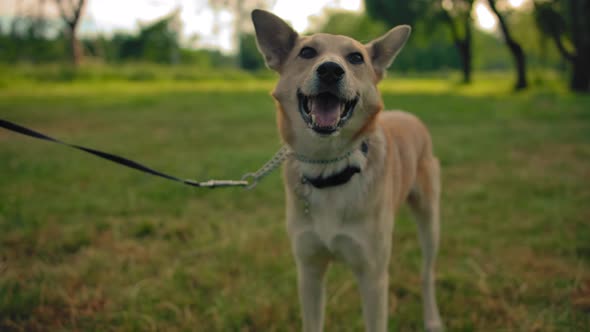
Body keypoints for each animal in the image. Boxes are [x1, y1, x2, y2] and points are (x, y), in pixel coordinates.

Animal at [253, 10, 444, 332]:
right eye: (307, 52)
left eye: (356, 58)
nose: (330, 70)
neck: (329, 168)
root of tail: (408, 116)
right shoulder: (309, 270)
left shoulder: (373, 276)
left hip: (429, 221)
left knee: (427, 273)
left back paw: (431, 318)